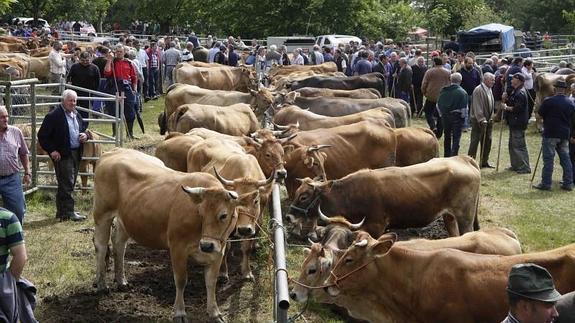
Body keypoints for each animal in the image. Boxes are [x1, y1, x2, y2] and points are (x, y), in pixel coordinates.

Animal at [93, 148, 255, 322]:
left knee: (119, 245)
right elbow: (181, 280)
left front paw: (215, 313)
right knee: (101, 247)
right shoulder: (178, 248)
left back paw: (121, 281)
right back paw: (101, 284)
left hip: (125, 219)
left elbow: (211, 281)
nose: (206, 245)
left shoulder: (218, 251)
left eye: (223, 215)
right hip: (102, 214)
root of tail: (114, 151)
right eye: (200, 213)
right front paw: (179, 312)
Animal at [288, 157, 482, 238]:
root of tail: (463, 159)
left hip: (465, 218)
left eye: (304, 196)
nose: (289, 216)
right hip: (449, 217)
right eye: (296, 193)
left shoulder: (377, 226)